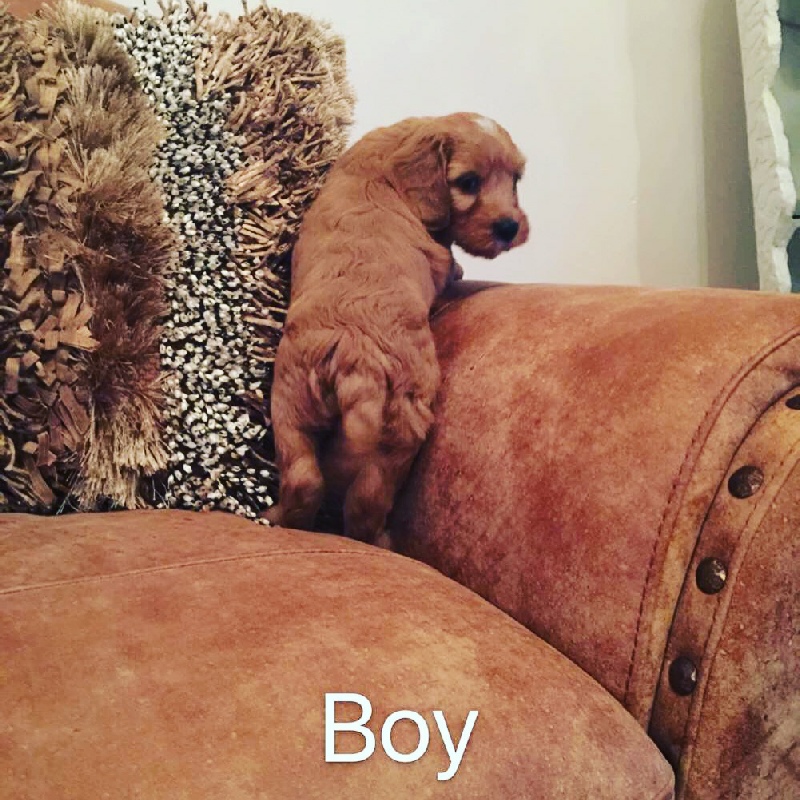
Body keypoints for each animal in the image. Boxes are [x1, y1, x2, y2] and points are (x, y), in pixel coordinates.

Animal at [263, 112, 529, 544]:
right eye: (469, 182)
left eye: (516, 180)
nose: (509, 227)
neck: (401, 144)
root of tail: (355, 358)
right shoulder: (438, 252)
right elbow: (447, 264)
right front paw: (459, 269)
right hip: (401, 431)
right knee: (366, 501)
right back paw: (379, 538)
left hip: (291, 406)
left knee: (304, 479)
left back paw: (277, 516)